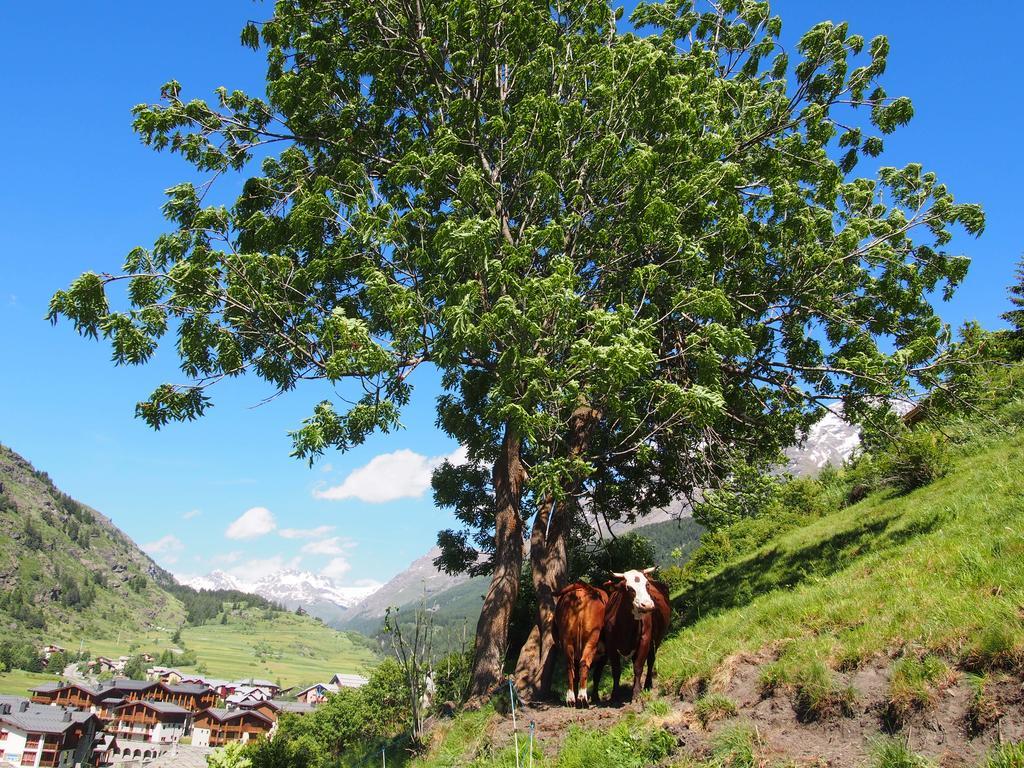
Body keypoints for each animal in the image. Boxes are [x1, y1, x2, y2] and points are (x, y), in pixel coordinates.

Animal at [593, 569, 671, 700]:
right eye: (629, 588)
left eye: (647, 584)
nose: (647, 604)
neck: (626, 626)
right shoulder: (611, 645)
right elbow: (616, 670)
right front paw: (615, 694)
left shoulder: (645, 640)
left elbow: (638, 666)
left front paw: (636, 692)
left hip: (656, 640)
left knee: (650, 661)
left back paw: (647, 684)